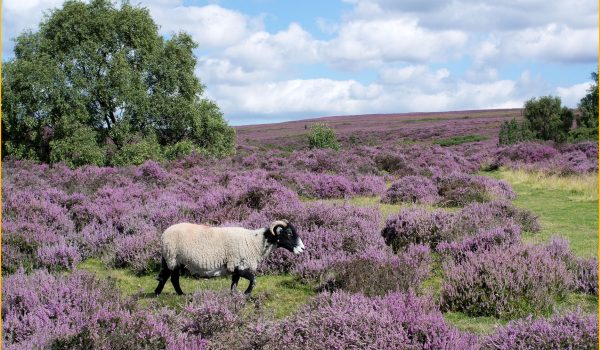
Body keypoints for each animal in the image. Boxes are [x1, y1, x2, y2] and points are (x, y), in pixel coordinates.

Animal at [155, 220, 304, 296]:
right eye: (289, 233)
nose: (302, 249)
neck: (255, 242)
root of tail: (163, 235)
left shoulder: (235, 267)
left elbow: (234, 283)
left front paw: (234, 296)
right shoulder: (239, 265)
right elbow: (253, 280)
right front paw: (246, 294)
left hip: (171, 259)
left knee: (166, 277)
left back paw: (159, 293)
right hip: (173, 258)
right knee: (173, 278)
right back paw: (179, 294)